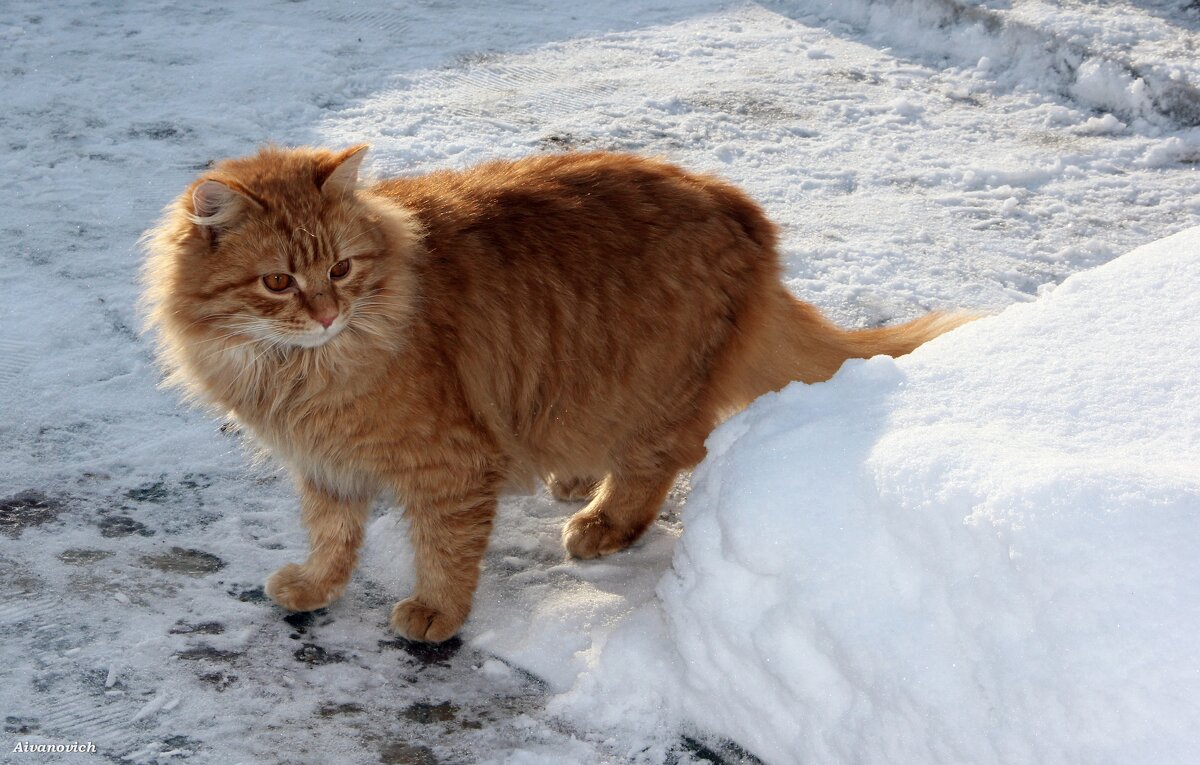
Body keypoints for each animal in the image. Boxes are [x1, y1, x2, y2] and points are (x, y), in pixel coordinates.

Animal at [142, 143, 964, 642]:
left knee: (664, 460)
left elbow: (444, 549)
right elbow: (332, 534)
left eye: (341, 269)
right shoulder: (326, 465)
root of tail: (742, 209)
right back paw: (576, 478)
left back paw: (601, 521)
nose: (325, 314)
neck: (298, 372)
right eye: (279, 282)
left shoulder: (452, 463)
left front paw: (436, 612)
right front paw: (316, 585)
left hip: (653, 386)